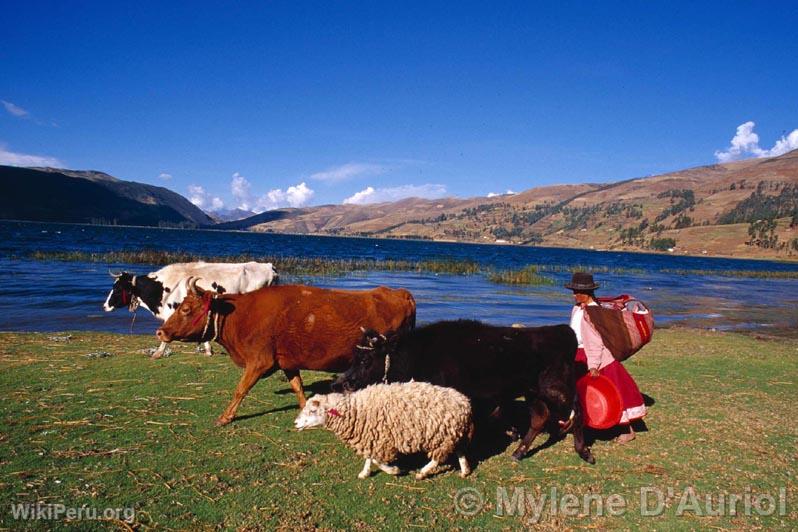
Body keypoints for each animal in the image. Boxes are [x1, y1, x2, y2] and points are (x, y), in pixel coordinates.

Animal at [157, 280, 418, 426]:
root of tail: (400, 293)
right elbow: (297, 386)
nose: (160, 332)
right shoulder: (287, 362)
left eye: (186, 309)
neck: (240, 315)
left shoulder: (259, 361)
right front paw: (306, 409)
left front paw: (225, 417)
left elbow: (240, 389)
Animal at [296, 380, 476, 480]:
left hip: (442, 436)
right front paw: (365, 473)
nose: (295, 423)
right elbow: (370, 457)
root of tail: (465, 403)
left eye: (313, 411)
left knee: (438, 458)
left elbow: (377, 460)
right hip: (453, 434)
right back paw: (465, 470)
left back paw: (422, 473)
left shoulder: (382, 439)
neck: (355, 410)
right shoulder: (371, 436)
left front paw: (394, 470)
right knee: (459, 451)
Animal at [332, 318, 592, 464]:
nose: (343, 383)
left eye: (366, 360)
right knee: (540, 417)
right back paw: (519, 452)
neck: (420, 353)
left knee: (577, 412)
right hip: (534, 393)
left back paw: (584, 452)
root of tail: (563, 331)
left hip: (557, 388)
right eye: (354, 356)